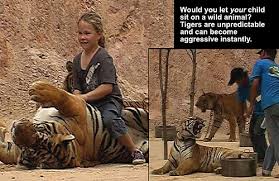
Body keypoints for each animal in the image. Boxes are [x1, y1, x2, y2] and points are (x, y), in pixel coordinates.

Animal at [0, 81, 149, 169]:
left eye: (40, 134)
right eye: (29, 151)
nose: (17, 128)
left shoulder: (78, 110)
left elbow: (64, 97)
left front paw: (38, 88)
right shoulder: (15, 151)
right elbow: (4, 151)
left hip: (136, 113)